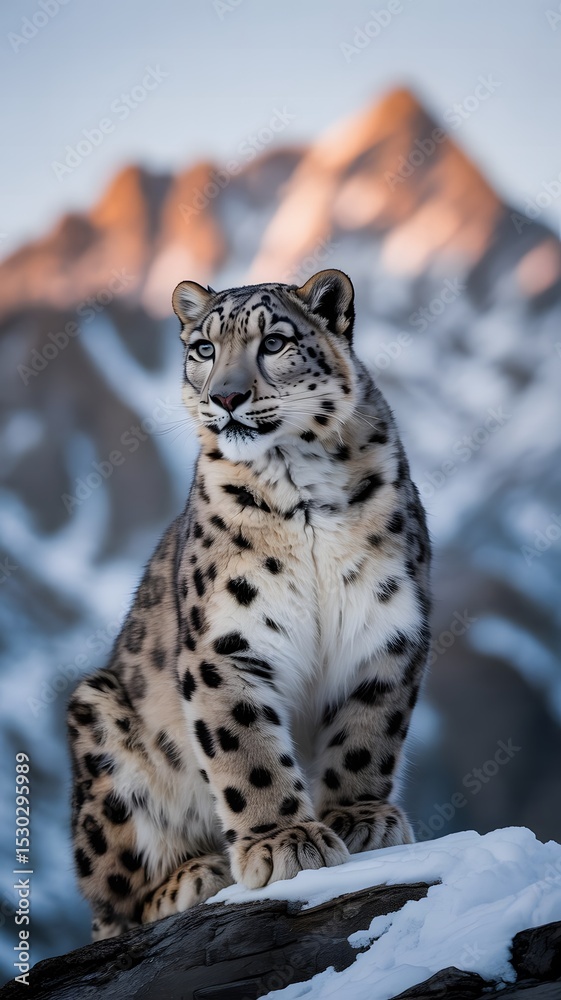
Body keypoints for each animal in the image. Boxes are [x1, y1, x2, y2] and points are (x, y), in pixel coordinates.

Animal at [67, 268, 431, 941]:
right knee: (115, 902)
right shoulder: (228, 641)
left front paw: (361, 818)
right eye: (203, 348)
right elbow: (246, 748)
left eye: (275, 342)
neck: (303, 487)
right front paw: (284, 842)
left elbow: (368, 731)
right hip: (99, 726)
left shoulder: (387, 624)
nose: (228, 396)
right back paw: (194, 875)